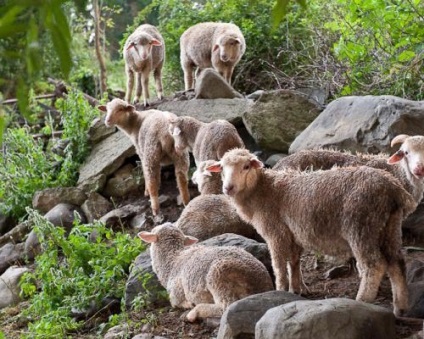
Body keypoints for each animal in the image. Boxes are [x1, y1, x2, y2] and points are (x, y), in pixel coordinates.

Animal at [137, 224, 274, 322]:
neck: (172, 261)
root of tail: (260, 282)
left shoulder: (175, 291)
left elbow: (177, 302)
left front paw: (188, 305)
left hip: (219, 275)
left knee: (226, 306)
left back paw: (194, 312)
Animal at [206, 149, 418, 316]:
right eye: (222, 168)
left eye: (246, 167)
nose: (228, 188)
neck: (263, 191)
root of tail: (393, 189)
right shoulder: (293, 233)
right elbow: (293, 262)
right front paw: (296, 289)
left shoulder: (275, 232)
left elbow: (279, 266)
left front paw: (280, 290)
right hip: (389, 226)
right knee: (397, 263)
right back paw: (401, 308)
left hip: (361, 225)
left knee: (374, 265)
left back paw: (362, 301)